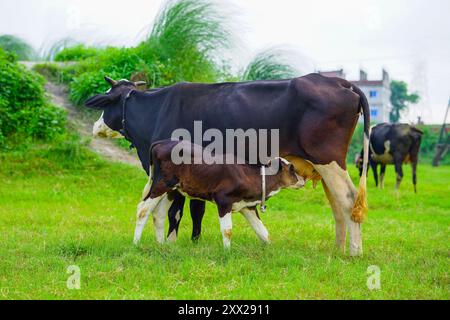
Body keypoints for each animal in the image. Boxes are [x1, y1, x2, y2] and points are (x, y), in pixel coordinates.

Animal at [136, 140, 306, 248]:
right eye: (292, 168)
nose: (303, 180)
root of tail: (162, 142)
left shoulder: (247, 206)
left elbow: (263, 232)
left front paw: (269, 249)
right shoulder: (223, 200)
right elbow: (228, 230)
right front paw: (227, 252)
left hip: (172, 190)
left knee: (158, 214)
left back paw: (161, 245)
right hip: (161, 184)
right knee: (143, 210)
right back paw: (136, 243)